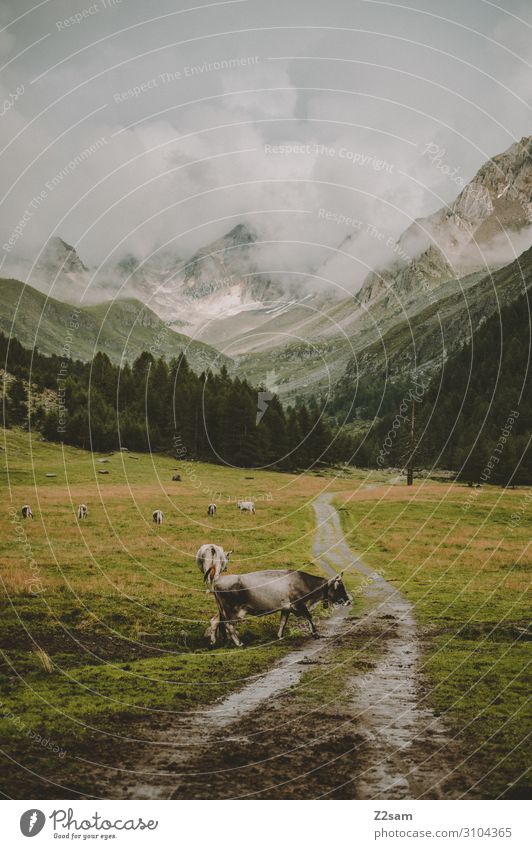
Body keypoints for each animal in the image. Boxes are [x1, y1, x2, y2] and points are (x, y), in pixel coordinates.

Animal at [209, 568, 354, 644]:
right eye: (339, 587)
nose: (348, 601)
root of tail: (218, 581)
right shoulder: (298, 605)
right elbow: (309, 616)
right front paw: (315, 633)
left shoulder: (286, 608)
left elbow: (283, 622)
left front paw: (280, 636)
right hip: (231, 610)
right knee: (228, 625)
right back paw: (239, 643)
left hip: (221, 610)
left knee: (215, 621)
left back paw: (214, 641)